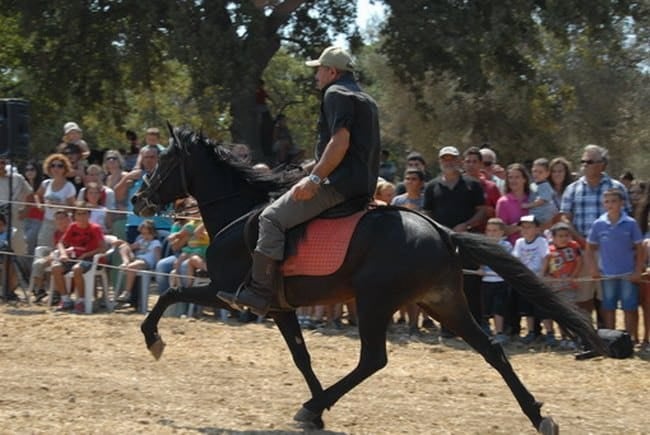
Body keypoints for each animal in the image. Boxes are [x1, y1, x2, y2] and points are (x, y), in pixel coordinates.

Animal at [132, 126, 604, 432]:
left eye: (167, 159)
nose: (138, 198)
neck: (237, 212)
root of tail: (442, 231)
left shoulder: (224, 292)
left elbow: (169, 293)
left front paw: (153, 339)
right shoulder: (281, 309)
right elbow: (302, 357)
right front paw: (318, 412)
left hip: (375, 301)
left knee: (373, 359)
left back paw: (312, 405)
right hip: (443, 302)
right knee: (492, 350)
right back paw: (539, 415)